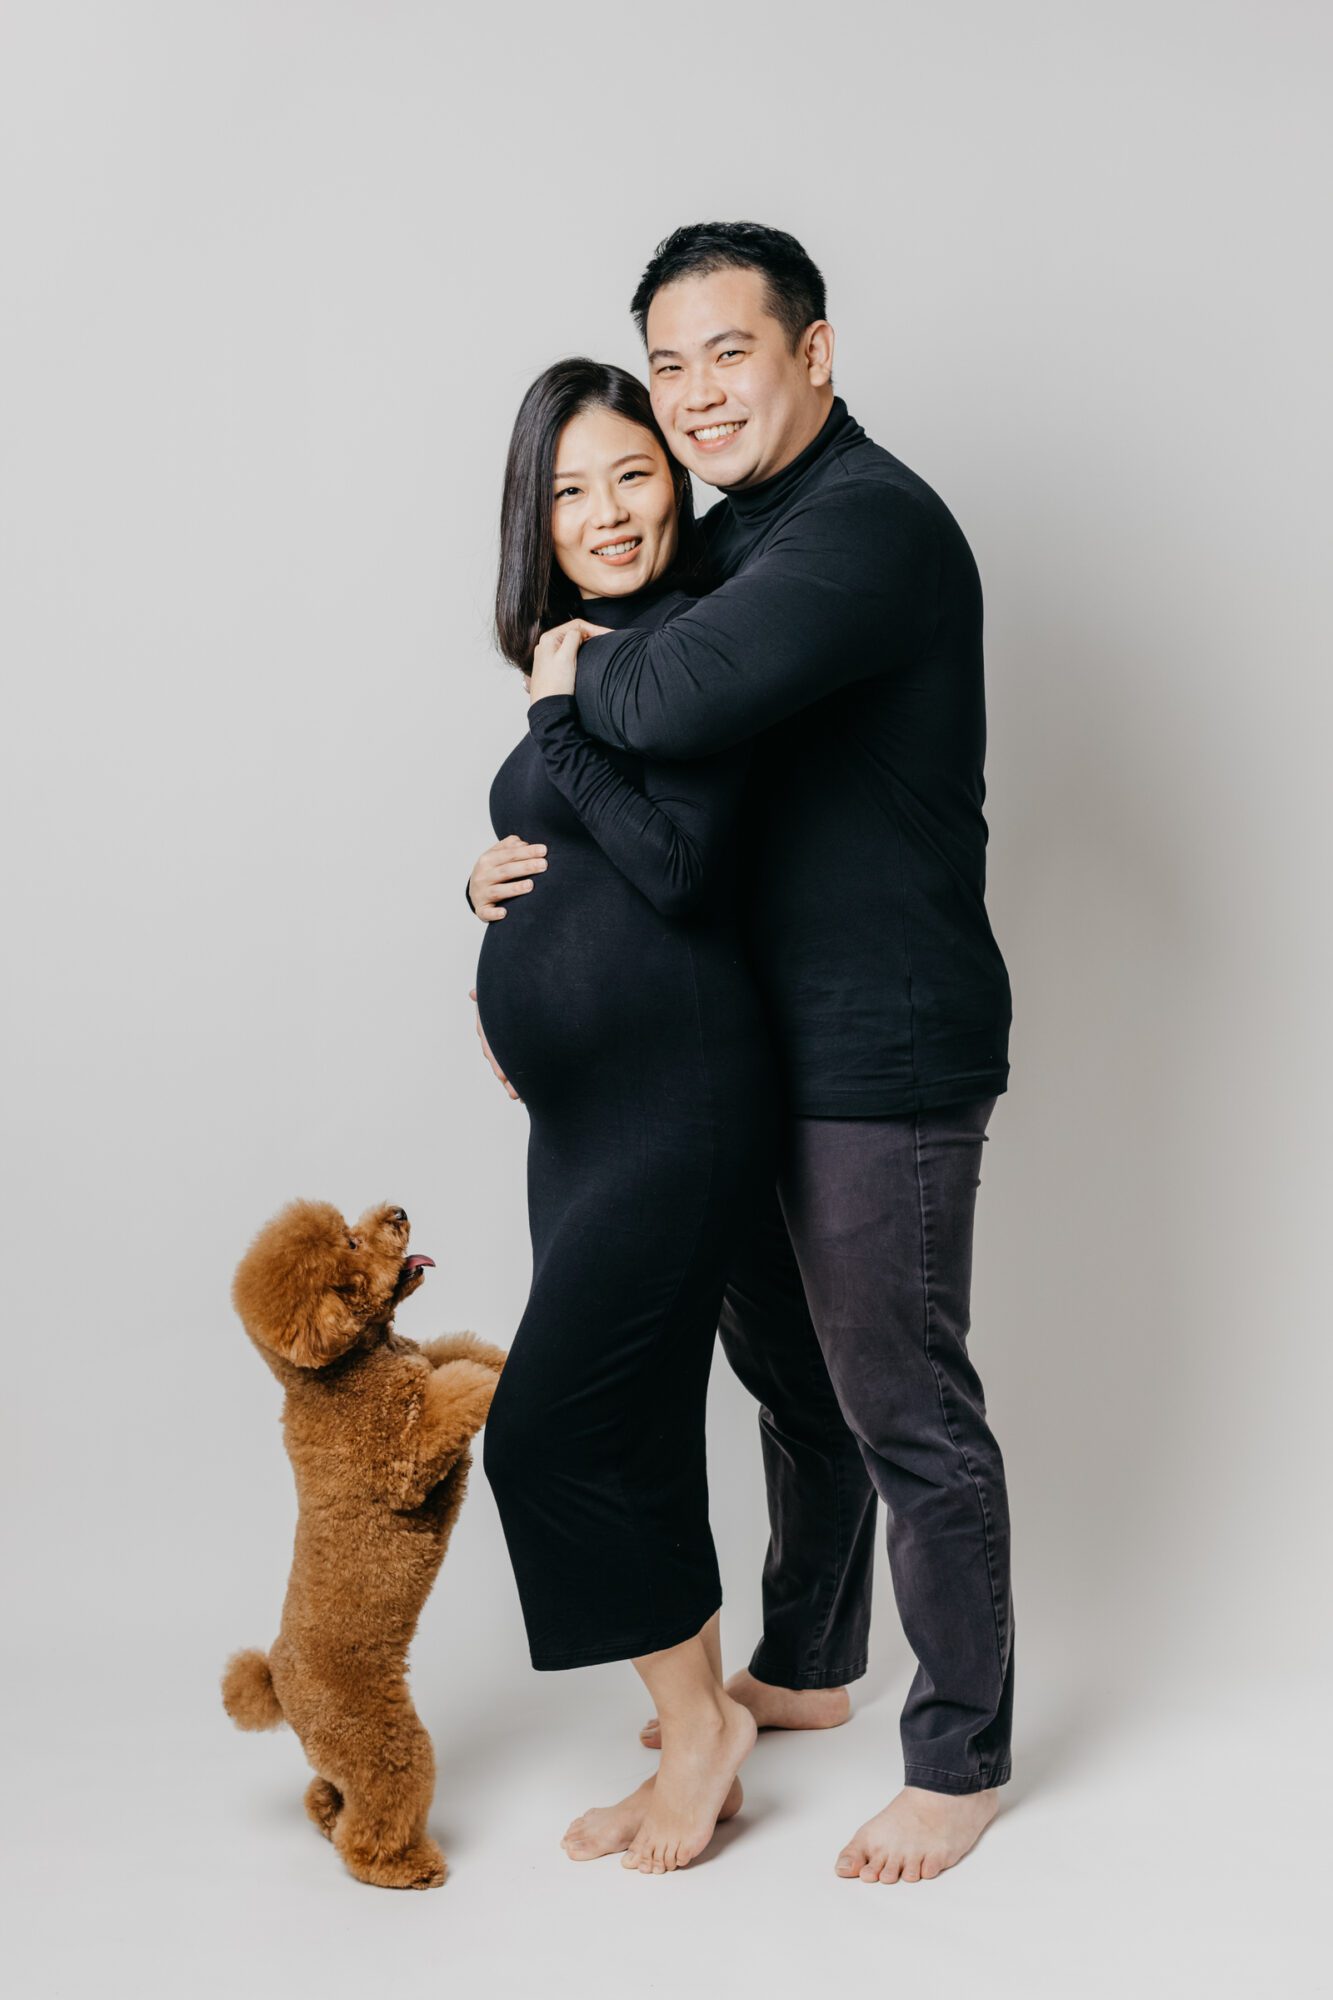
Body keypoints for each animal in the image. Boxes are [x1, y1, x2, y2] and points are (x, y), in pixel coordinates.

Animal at [223, 1200, 504, 1888]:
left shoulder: (418, 1356)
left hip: (339, 1754)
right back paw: (408, 1867)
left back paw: (326, 1815)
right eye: (352, 1244)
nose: (398, 1210)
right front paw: (492, 1380)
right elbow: (454, 1389)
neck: (344, 1368)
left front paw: (502, 1354)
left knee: (329, 1793)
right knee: (375, 1816)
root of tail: (278, 1681)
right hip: (386, 1742)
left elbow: (455, 1349)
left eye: (350, 1226)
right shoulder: (405, 1461)